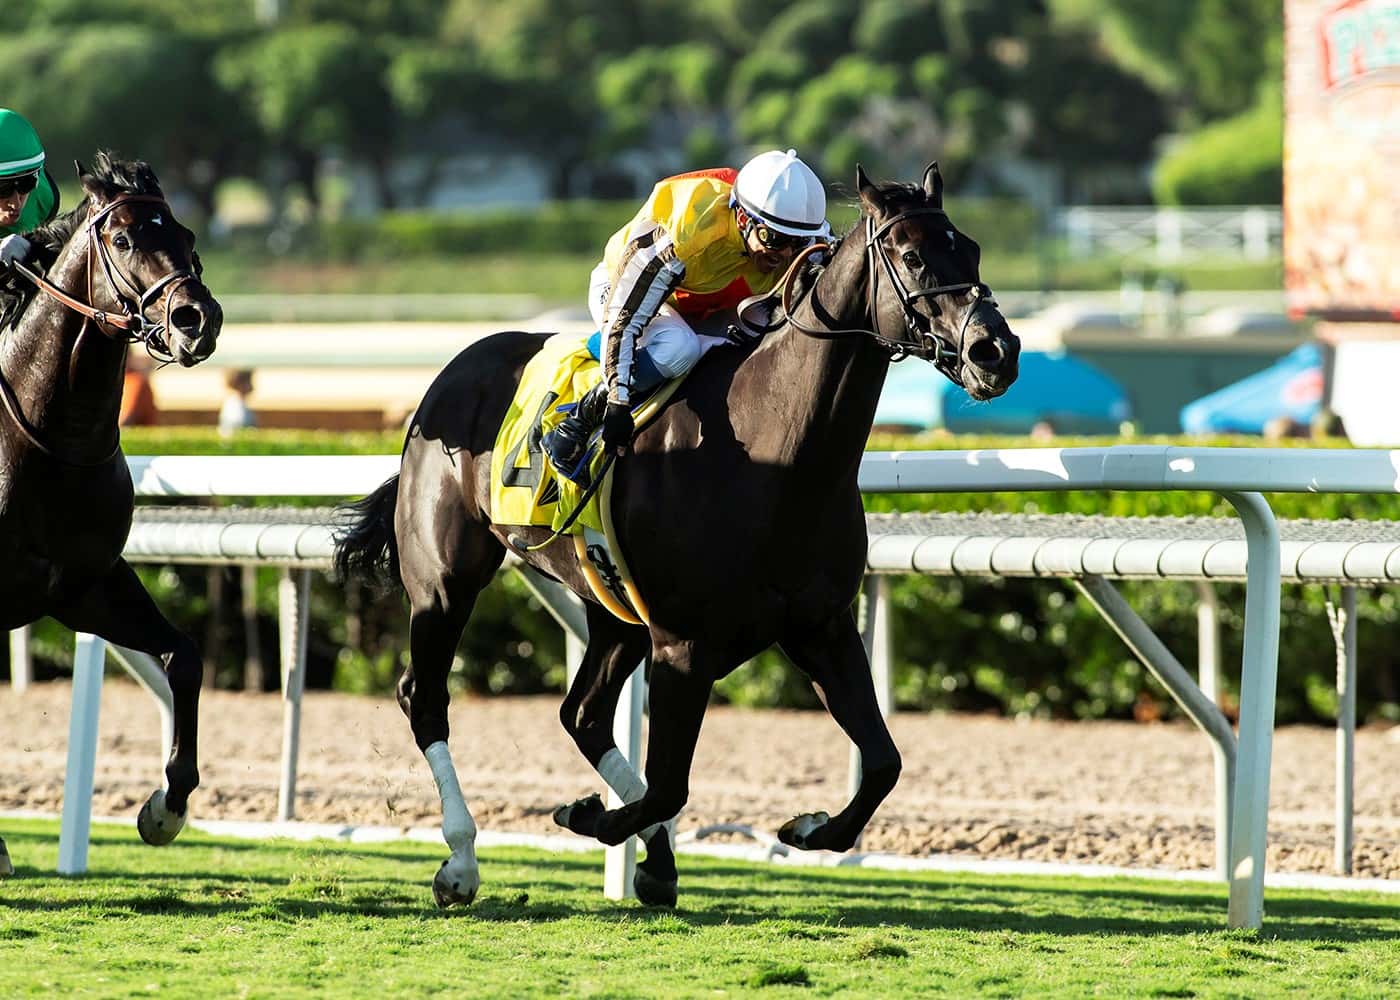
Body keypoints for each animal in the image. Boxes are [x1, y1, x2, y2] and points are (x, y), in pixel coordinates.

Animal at [0, 149, 221, 873]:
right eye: (123, 240)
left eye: (186, 235)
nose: (196, 319)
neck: (53, 438)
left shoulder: (85, 585)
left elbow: (185, 657)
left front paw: (165, 808)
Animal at [334, 161, 1024, 901]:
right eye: (912, 255)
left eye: (972, 249)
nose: (996, 349)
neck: (778, 456)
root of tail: (445, 381)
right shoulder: (684, 648)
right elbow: (668, 785)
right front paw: (593, 819)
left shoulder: (820, 626)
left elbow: (884, 762)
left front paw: (808, 828)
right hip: (445, 579)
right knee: (426, 697)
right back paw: (462, 860)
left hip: (613, 608)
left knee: (581, 714)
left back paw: (653, 860)